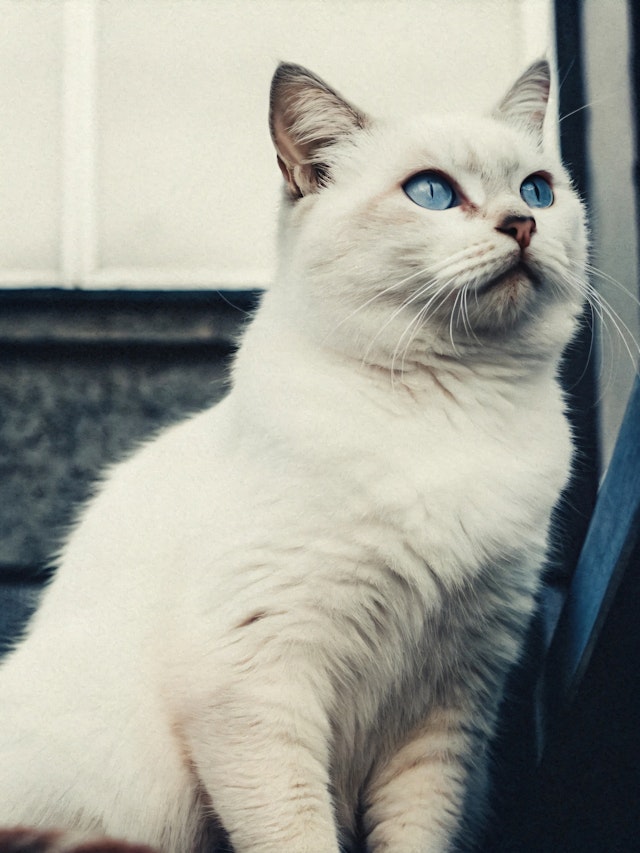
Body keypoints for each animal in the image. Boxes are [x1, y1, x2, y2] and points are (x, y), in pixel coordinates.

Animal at [0, 61, 588, 852]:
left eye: (537, 190)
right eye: (432, 192)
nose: (521, 224)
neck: (453, 409)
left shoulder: (447, 704)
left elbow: (417, 832)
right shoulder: (258, 679)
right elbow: (294, 830)